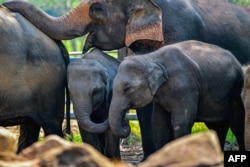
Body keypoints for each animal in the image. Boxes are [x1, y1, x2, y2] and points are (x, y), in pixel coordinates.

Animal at [109, 39, 244, 151]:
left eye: (127, 88)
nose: (126, 124)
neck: (151, 57)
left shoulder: (185, 86)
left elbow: (181, 123)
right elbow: (159, 125)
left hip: (236, 92)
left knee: (237, 125)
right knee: (217, 127)